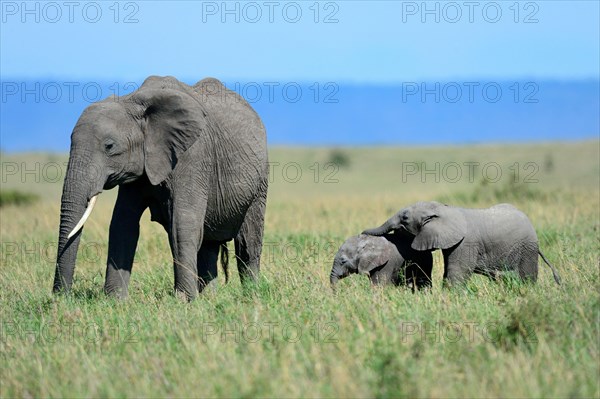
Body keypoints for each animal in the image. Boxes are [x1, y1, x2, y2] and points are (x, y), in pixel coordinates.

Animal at [54, 76, 270, 300]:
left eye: (109, 146)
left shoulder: (193, 154)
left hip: (259, 181)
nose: (60, 297)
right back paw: (209, 298)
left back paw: (251, 295)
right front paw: (115, 301)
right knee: (208, 246)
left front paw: (184, 301)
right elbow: (123, 224)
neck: (132, 101)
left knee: (247, 243)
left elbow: (182, 225)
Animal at [360, 202, 564, 286]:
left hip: (527, 249)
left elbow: (457, 272)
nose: (361, 233)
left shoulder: (466, 243)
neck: (445, 210)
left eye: (405, 218)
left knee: (527, 276)